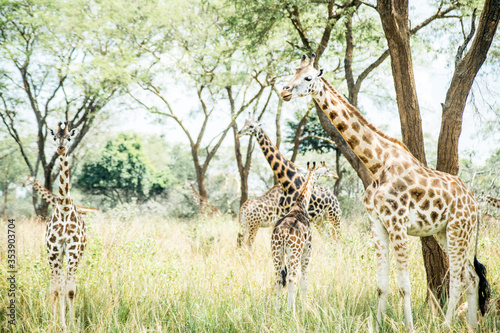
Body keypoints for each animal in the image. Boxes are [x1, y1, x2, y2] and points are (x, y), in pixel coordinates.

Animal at [272, 160, 326, 312]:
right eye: (318, 174)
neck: (300, 206)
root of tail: (283, 233)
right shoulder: (307, 250)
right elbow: (304, 281)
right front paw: (305, 307)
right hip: (295, 252)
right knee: (291, 279)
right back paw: (292, 311)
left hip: (277, 252)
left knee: (278, 279)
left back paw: (277, 310)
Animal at [280, 54, 490, 330]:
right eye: (292, 71)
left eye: (307, 77)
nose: (283, 90)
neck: (377, 164)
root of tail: (475, 203)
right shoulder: (378, 225)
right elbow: (381, 285)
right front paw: (378, 324)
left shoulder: (398, 225)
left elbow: (404, 286)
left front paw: (410, 327)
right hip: (445, 232)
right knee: (472, 277)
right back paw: (472, 326)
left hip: (458, 229)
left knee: (457, 279)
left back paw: (446, 326)